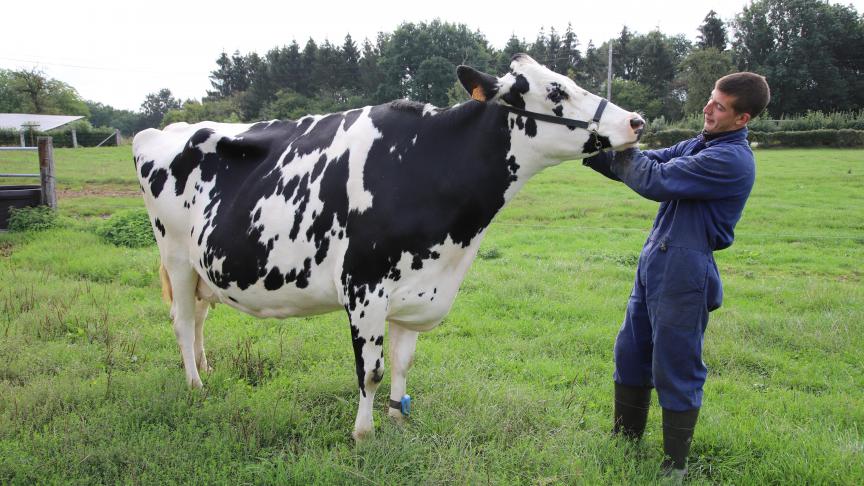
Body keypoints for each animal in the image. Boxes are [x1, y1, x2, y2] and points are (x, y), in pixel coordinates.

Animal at [133, 53, 645, 440]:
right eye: (556, 91)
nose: (635, 121)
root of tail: (162, 130)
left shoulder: (418, 286)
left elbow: (403, 361)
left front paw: (398, 419)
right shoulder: (364, 286)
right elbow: (371, 371)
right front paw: (363, 435)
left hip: (203, 266)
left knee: (199, 316)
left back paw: (207, 368)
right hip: (174, 255)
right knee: (182, 321)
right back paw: (196, 385)